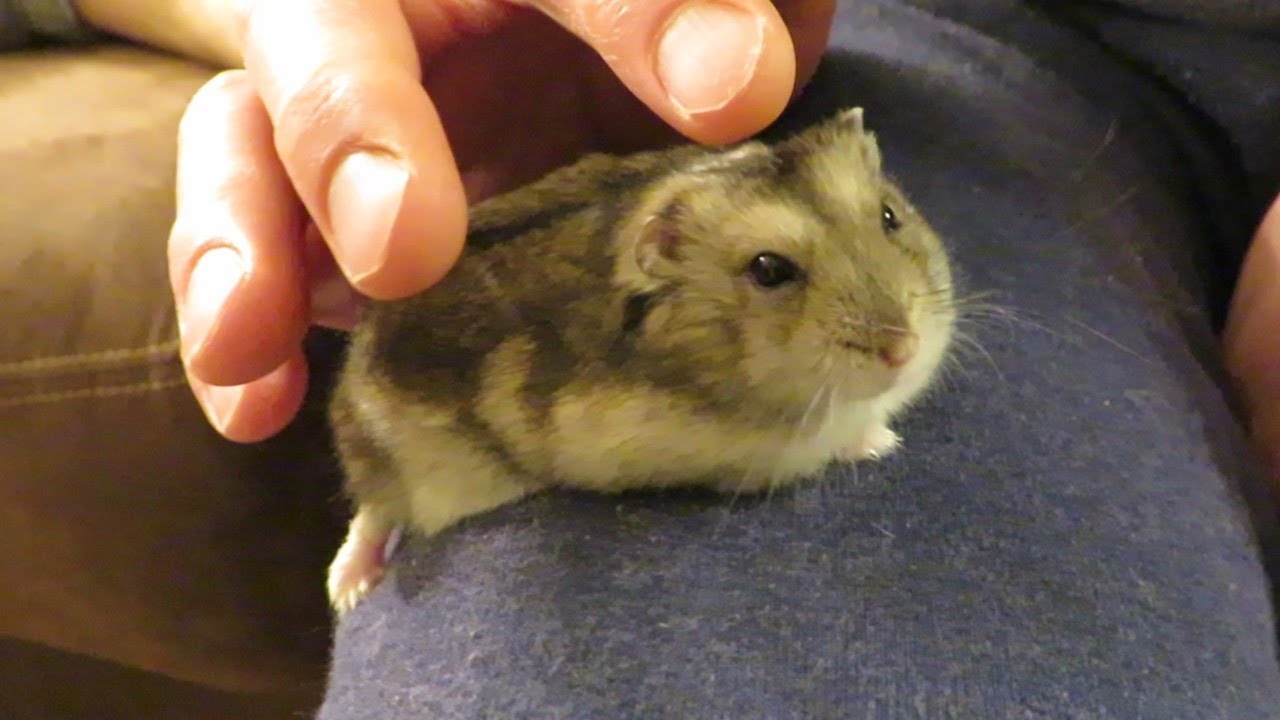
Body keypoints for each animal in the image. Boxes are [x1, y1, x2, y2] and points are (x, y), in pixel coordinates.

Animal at [325, 108, 956, 614]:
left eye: (890, 216)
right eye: (769, 269)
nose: (904, 348)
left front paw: (883, 438)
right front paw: (881, 443)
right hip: (402, 458)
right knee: (375, 510)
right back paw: (347, 592)